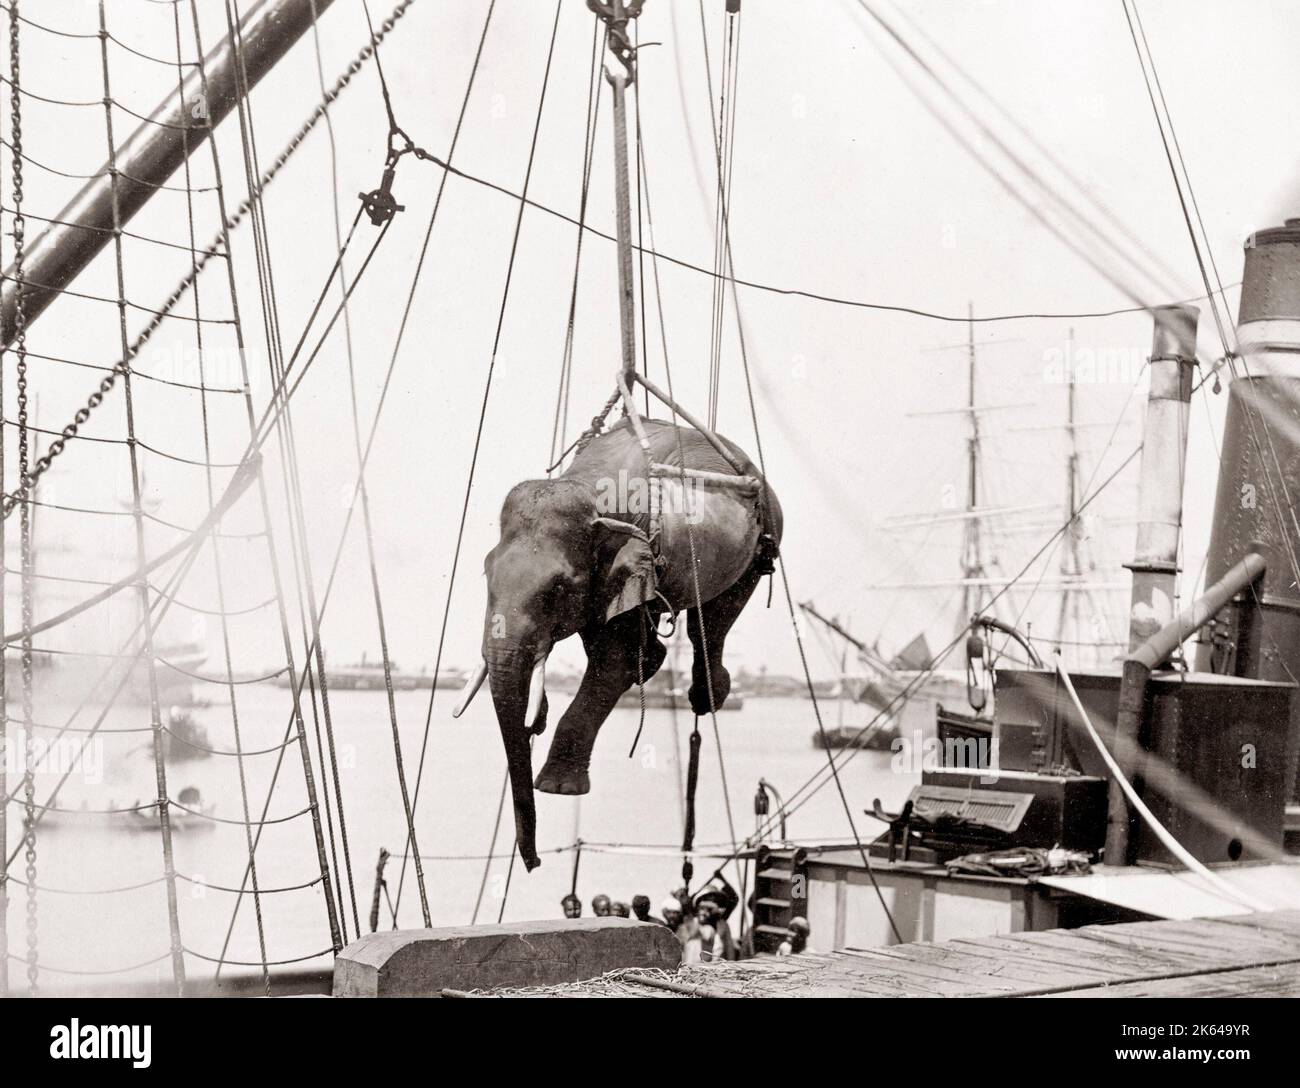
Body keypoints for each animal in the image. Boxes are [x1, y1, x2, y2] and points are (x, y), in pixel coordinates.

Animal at [455, 415, 782, 871]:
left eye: (558, 588)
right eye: (487, 576)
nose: (533, 863)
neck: (586, 488)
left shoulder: (635, 555)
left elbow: (617, 662)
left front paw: (557, 787)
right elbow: (611, 649)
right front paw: (537, 717)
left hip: (763, 538)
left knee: (714, 618)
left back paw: (708, 696)